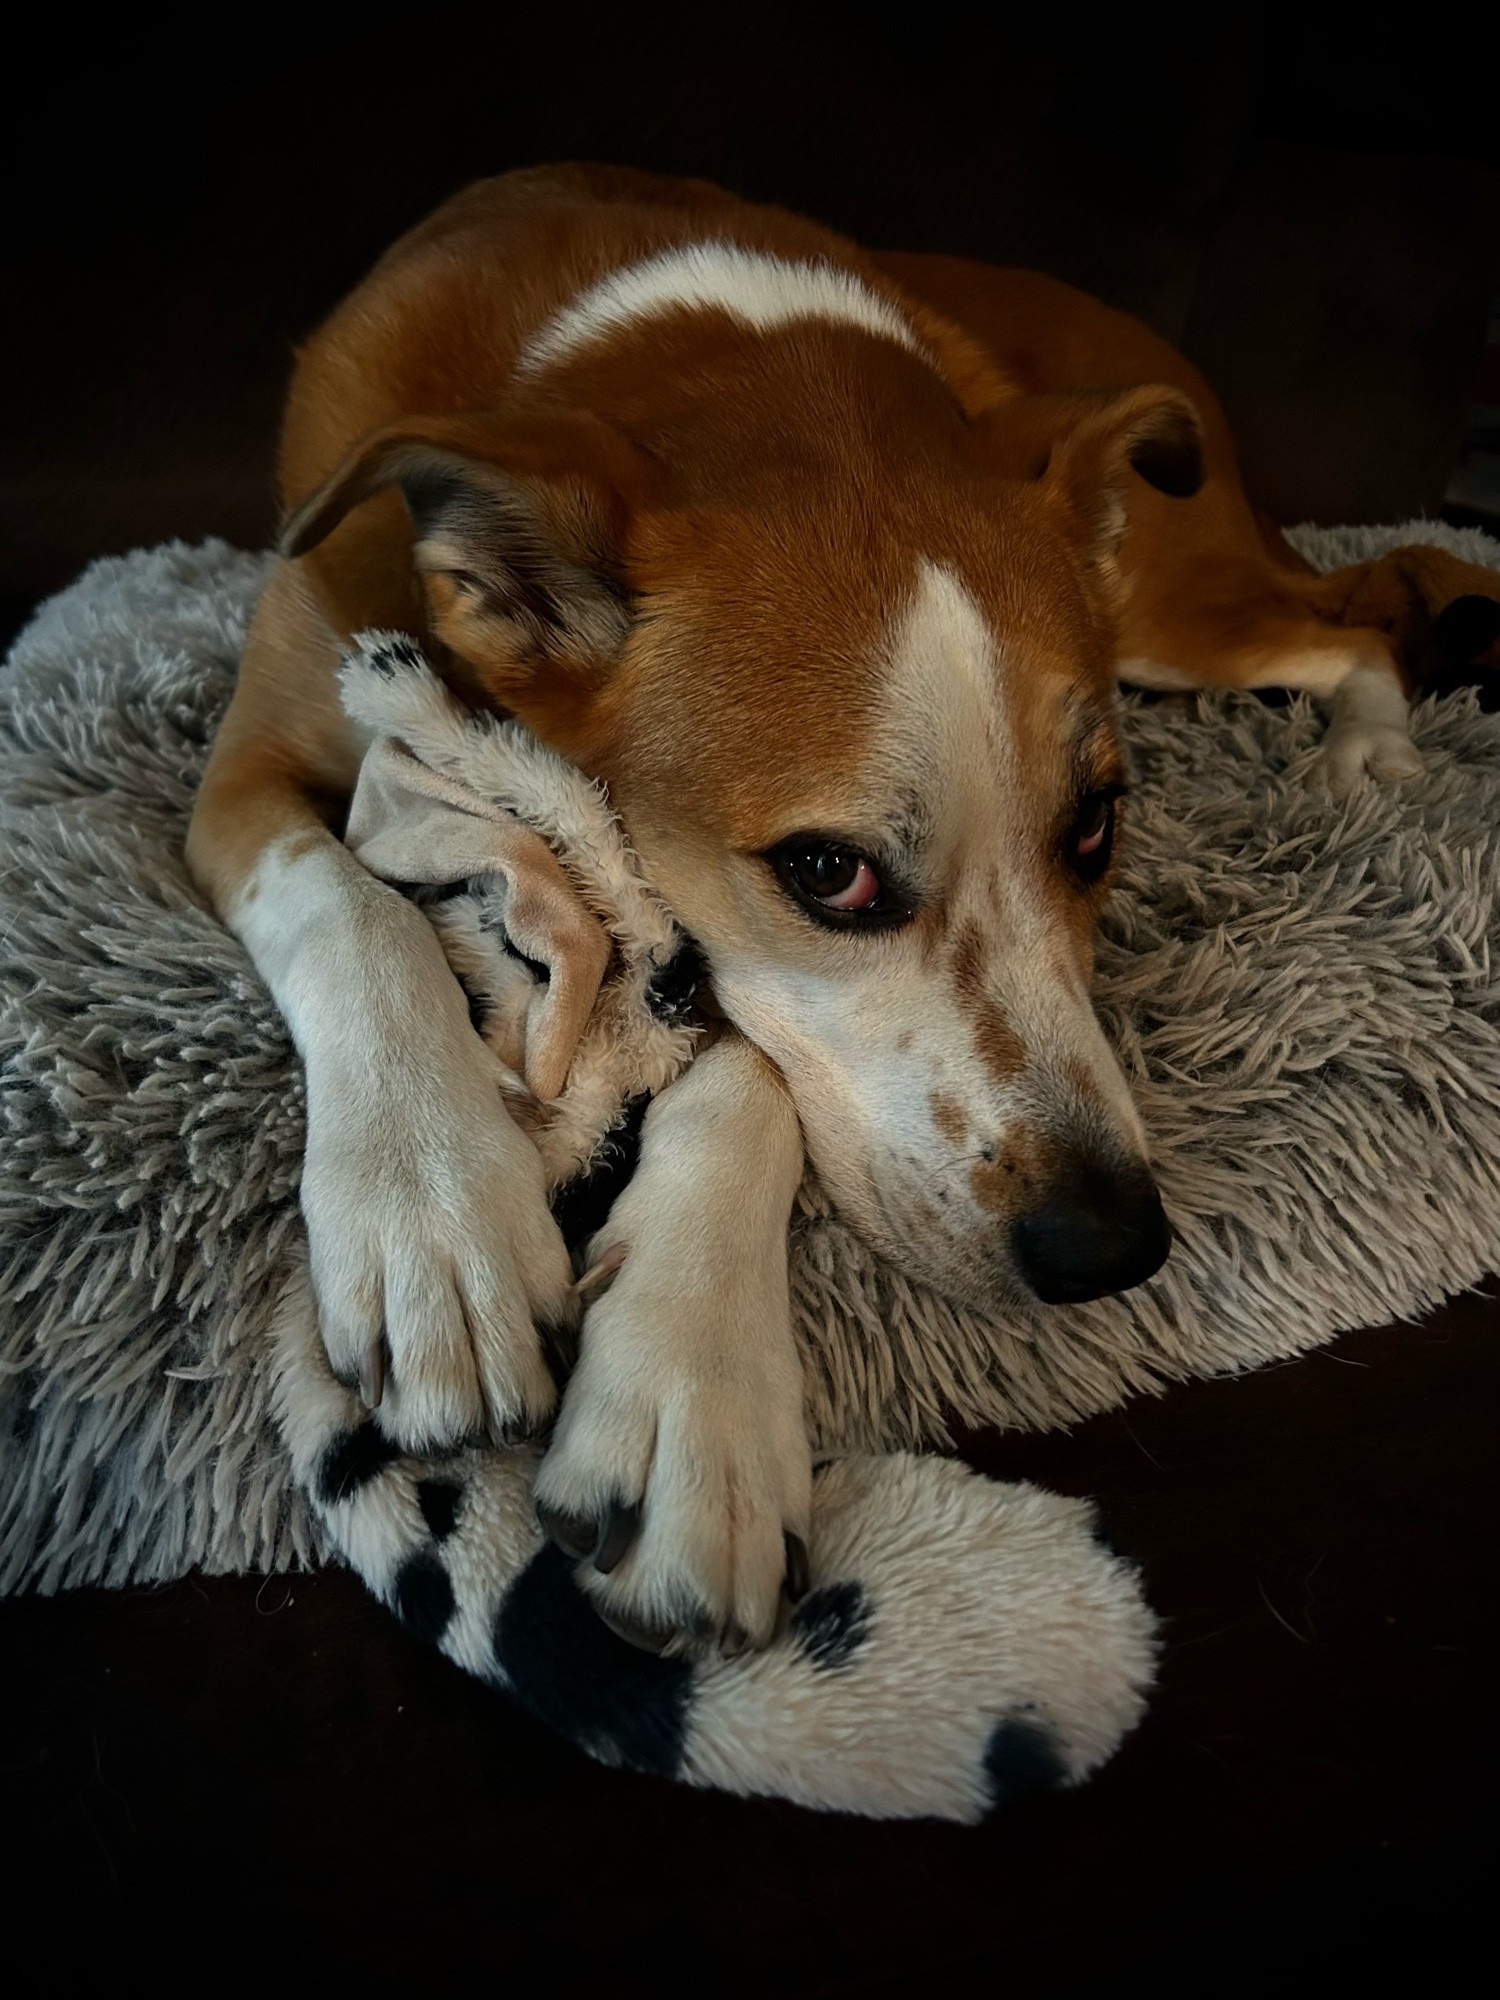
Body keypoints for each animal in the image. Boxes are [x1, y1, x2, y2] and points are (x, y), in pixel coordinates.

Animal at [185, 160, 1500, 1656]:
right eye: (830, 872)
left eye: (1096, 826)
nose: (1111, 1248)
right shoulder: (241, 774)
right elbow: (353, 909)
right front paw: (435, 1216)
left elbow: (747, 1058)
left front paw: (692, 1390)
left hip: (1172, 601)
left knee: (1355, 622)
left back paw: (1369, 754)